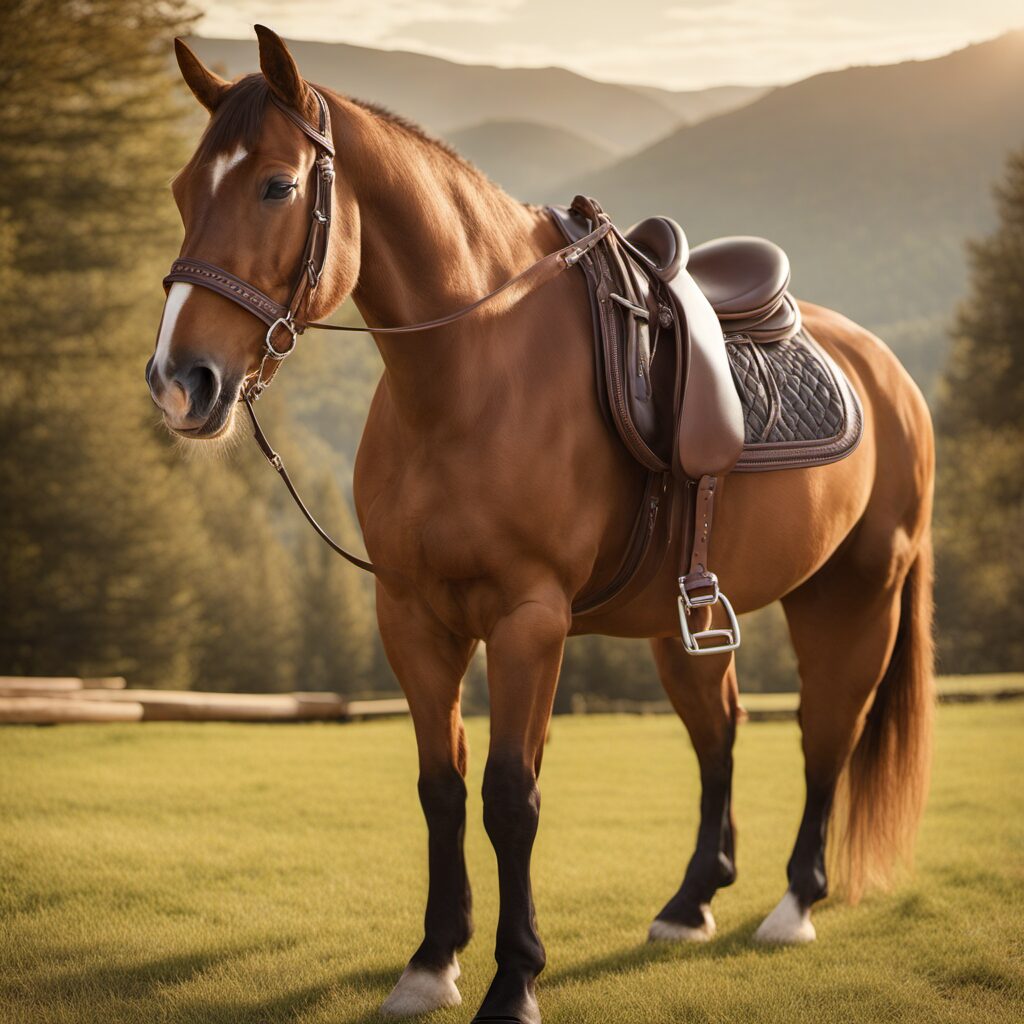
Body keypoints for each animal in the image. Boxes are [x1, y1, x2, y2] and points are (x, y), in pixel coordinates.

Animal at [147, 27, 935, 1024]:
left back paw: (795, 903)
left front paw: (514, 976)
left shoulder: (529, 618)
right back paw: (690, 902)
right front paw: (432, 961)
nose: (180, 382)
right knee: (720, 731)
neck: (473, 374)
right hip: (686, 624)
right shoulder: (414, 617)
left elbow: (510, 797)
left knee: (826, 731)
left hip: (852, 597)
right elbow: (441, 788)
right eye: (183, 190)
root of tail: (886, 370)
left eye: (278, 186)